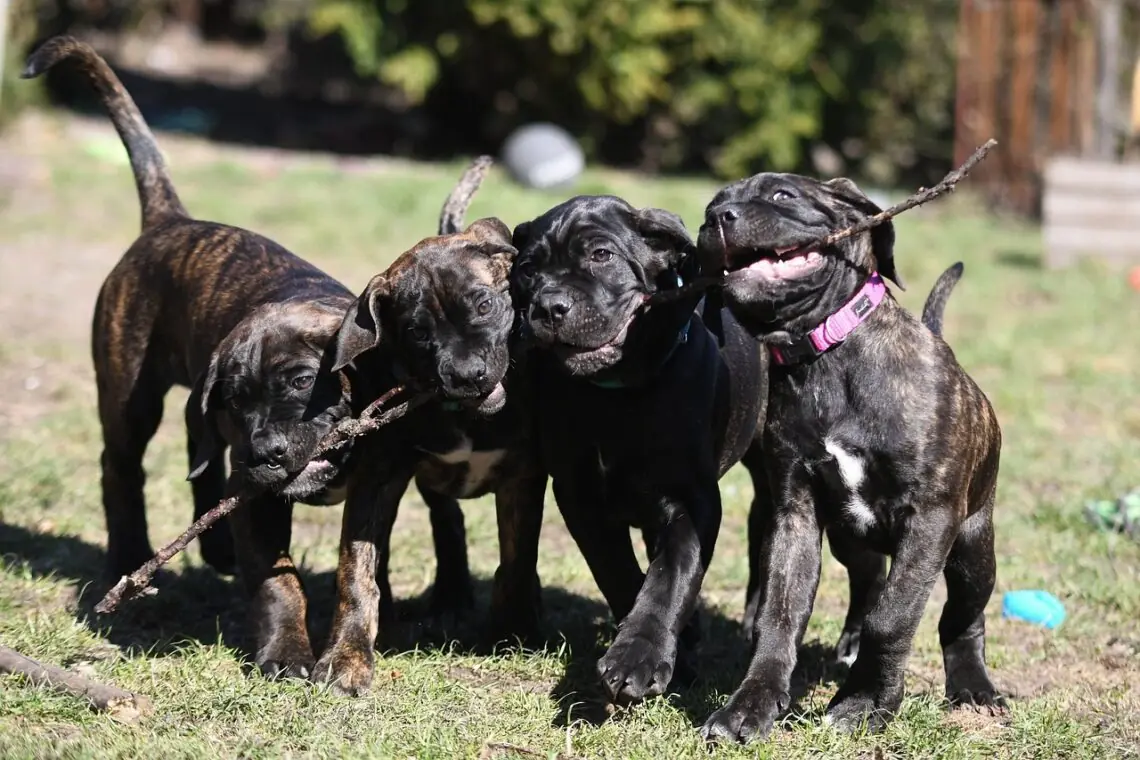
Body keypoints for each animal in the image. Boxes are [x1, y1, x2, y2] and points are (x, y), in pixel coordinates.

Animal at [310, 185, 544, 697]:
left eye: (484, 305)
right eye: (417, 331)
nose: (468, 375)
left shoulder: (524, 475)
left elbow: (518, 554)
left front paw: (513, 628)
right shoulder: (377, 478)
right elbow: (356, 573)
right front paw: (345, 657)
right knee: (446, 519)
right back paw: (450, 595)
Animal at [510, 195, 766, 706]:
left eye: (601, 255)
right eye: (528, 269)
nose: (549, 306)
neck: (619, 395)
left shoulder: (692, 499)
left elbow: (671, 576)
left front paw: (639, 657)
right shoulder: (580, 495)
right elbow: (620, 573)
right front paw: (660, 653)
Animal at [688, 174, 1003, 742]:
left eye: (783, 196)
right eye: (713, 203)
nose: (716, 218)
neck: (826, 356)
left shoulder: (930, 520)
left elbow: (894, 616)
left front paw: (864, 704)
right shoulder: (795, 513)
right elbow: (779, 615)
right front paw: (748, 708)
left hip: (971, 546)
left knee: (962, 615)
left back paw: (973, 685)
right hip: (849, 538)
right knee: (870, 579)